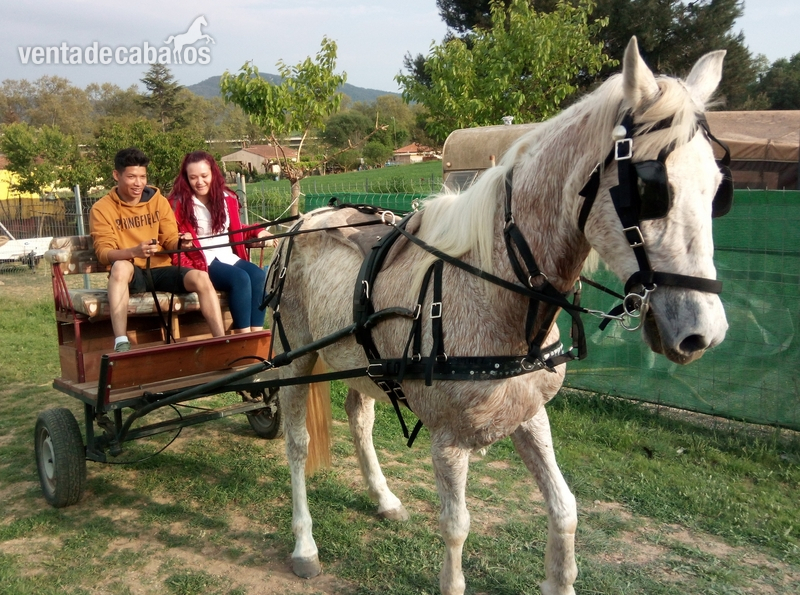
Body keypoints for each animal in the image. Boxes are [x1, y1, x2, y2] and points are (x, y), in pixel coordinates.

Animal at [269, 37, 728, 595]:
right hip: (294, 360)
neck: (494, 294)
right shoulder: (448, 442)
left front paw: (560, 579)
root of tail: (301, 222)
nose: (704, 332)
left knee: (360, 418)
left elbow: (565, 509)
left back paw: (383, 497)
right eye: (648, 190)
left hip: (363, 363)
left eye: (717, 188)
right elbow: (456, 527)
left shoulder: (531, 416)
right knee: (297, 445)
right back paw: (304, 544)